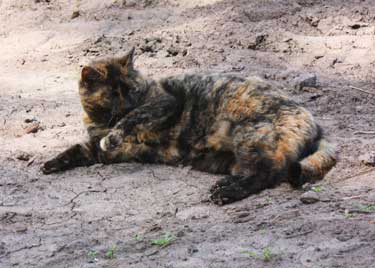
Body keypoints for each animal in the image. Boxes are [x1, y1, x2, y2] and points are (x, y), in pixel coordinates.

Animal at [41, 47, 338, 204]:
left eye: (130, 89)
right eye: (113, 93)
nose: (129, 100)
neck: (101, 121)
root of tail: (315, 122)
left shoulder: (163, 103)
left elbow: (132, 118)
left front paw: (116, 132)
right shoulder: (101, 152)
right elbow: (76, 149)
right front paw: (50, 164)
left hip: (250, 134)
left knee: (271, 172)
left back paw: (224, 192)